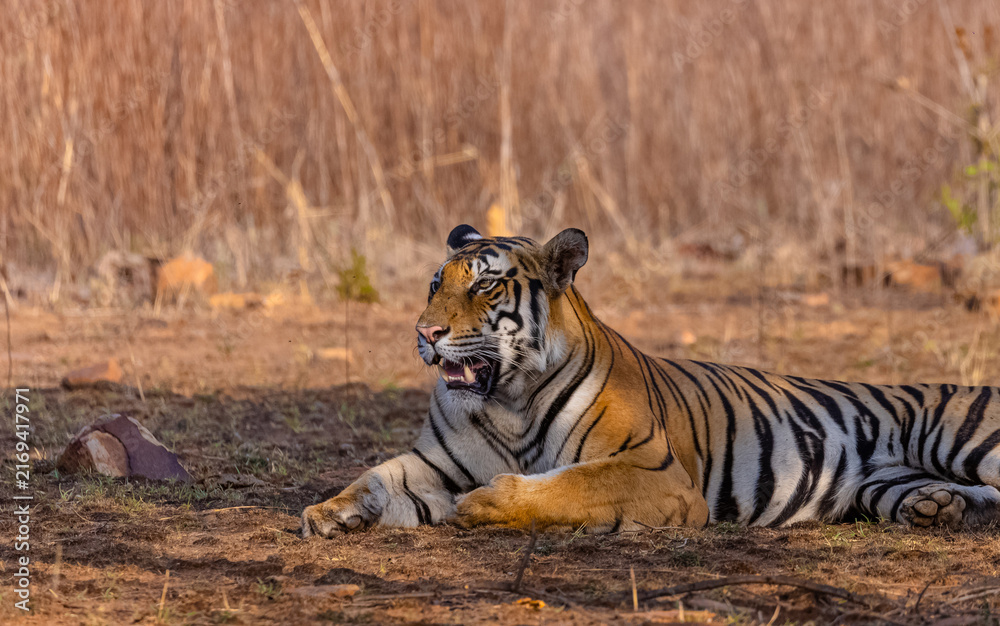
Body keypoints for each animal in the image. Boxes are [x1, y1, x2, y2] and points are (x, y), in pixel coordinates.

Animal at [301, 225, 1000, 536]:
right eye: (434, 285)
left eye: (484, 285)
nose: (425, 332)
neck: (507, 399)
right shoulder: (434, 464)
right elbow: (376, 478)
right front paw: (328, 513)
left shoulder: (654, 472)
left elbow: (572, 485)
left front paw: (488, 503)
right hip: (884, 484)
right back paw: (941, 507)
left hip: (965, 440)